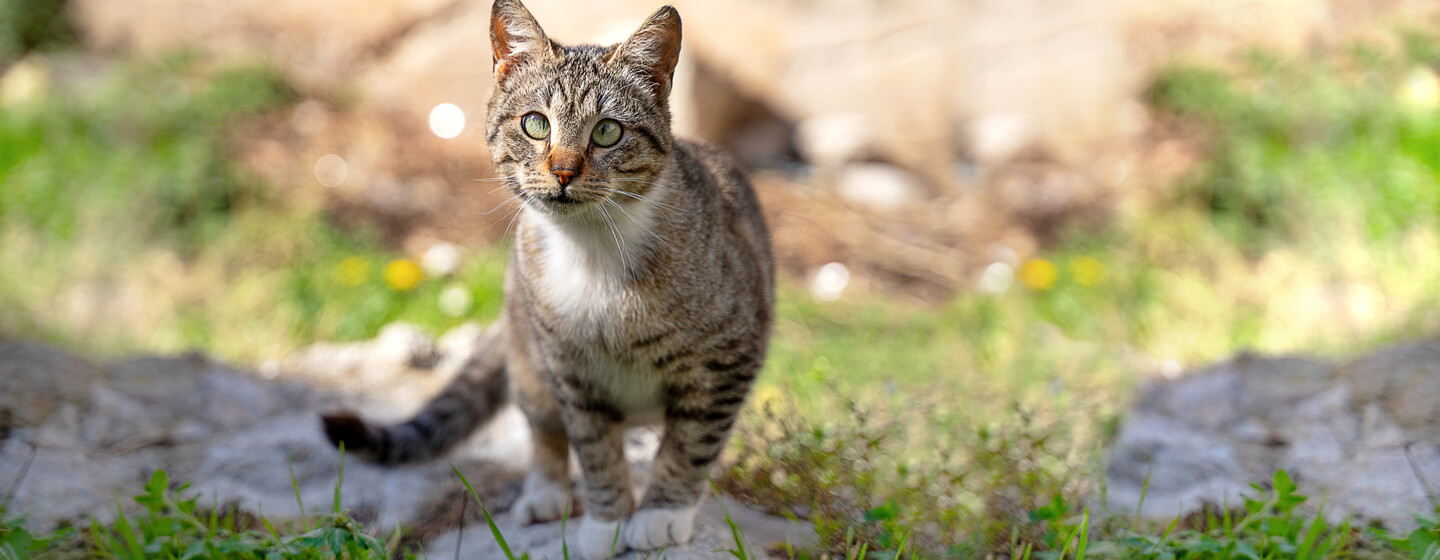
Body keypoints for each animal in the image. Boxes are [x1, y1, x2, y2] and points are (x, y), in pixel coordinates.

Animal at [319, 2, 771, 555]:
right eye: (535, 124)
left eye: (607, 131)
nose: (563, 171)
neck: (592, 252)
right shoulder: (570, 372)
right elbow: (594, 449)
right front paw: (605, 521)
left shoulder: (728, 359)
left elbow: (692, 443)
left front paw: (660, 513)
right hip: (529, 356)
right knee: (544, 429)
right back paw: (546, 493)